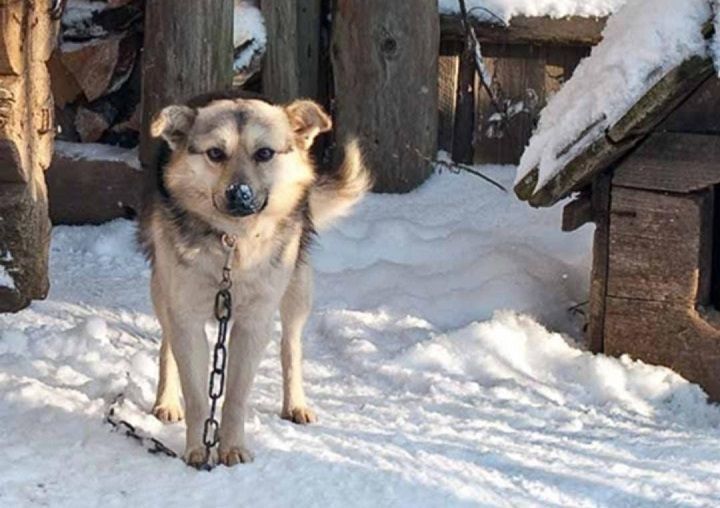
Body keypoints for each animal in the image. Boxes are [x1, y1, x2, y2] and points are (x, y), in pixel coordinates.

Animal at [138, 92, 372, 468]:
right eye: (215, 153)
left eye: (264, 153)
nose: (239, 193)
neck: (233, 243)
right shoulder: (185, 314)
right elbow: (197, 393)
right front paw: (197, 448)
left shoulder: (253, 321)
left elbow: (235, 396)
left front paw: (232, 447)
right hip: (162, 289)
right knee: (166, 345)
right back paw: (166, 400)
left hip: (297, 288)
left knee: (291, 346)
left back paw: (295, 403)